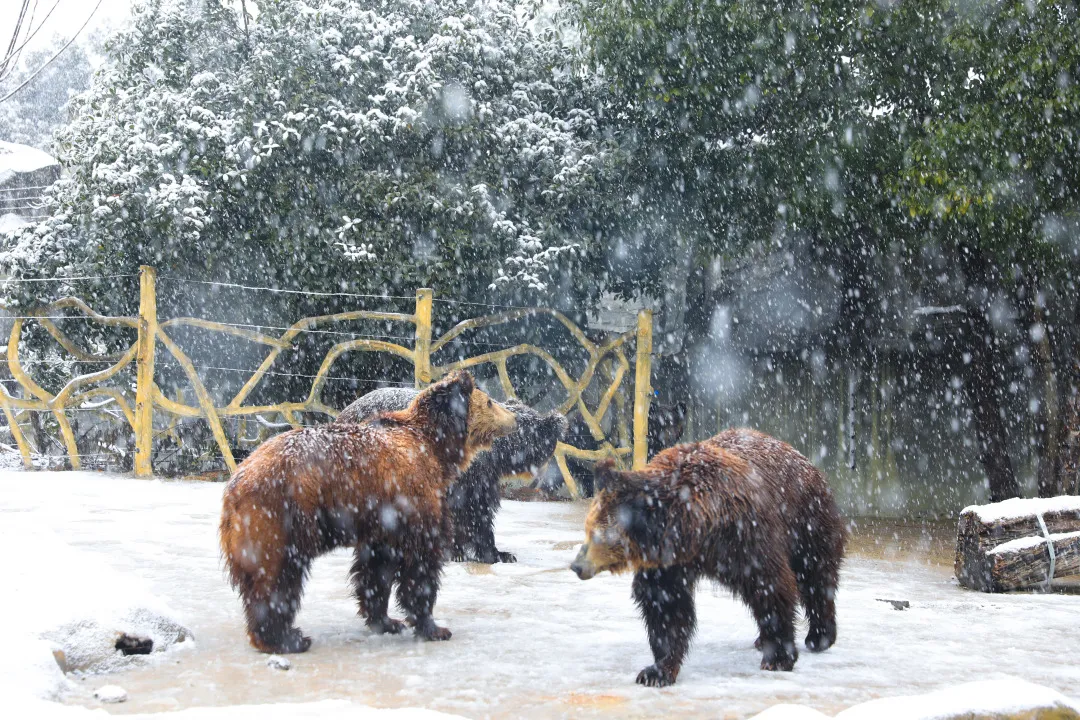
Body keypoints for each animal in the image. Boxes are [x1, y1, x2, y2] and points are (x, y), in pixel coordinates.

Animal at [219, 371, 514, 651]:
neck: (435, 448)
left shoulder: (383, 521)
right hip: (279, 518)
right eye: (490, 401)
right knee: (276, 580)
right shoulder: (415, 500)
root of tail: (235, 483)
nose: (513, 418)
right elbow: (421, 564)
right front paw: (434, 627)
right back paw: (286, 639)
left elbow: (376, 569)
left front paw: (386, 621)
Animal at [570, 427, 846, 686]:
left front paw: (778, 658)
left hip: (806, 519)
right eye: (586, 529)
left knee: (816, 575)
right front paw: (657, 671)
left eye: (597, 534)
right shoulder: (668, 561)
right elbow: (666, 604)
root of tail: (803, 458)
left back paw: (819, 636)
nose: (576, 566)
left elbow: (769, 584)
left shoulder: (746, 534)